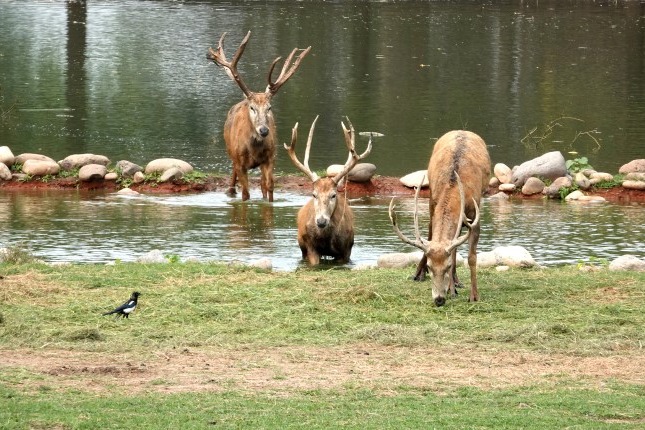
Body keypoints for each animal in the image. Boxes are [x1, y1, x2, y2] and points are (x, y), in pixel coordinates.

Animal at [205, 30, 308, 202]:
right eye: (252, 108)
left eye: (269, 108)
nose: (264, 130)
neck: (254, 148)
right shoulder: (239, 162)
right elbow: (245, 194)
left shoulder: (270, 158)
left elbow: (270, 188)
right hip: (231, 153)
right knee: (233, 181)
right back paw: (230, 190)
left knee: (262, 185)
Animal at [284, 116, 372, 264]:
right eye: (314, 194)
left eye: (333, 195)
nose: (321, 221)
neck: (326, 238)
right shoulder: (310, 246)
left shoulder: (346, 249)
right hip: (301, 245)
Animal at [388, 130, 488, 306]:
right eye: (430, 266)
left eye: (446, 267)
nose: (439, 300)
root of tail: (462, 130)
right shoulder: (433, 203)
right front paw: (450, 290)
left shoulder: (475, 216)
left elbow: (471, 257)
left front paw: (474, 296)